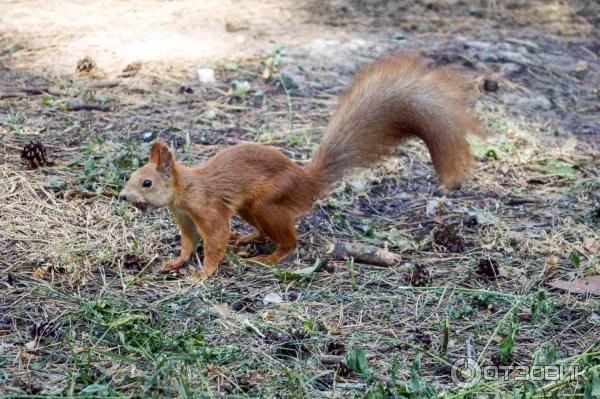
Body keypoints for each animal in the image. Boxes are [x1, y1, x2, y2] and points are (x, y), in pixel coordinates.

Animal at [120, 53, 482, 280]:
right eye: (131, 178)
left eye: (147, 182)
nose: (123, 197)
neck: (184, 190)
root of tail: (306, 181)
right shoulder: (184, 217)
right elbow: (188, 242)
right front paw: (175, 262)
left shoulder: (206, 209)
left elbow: (215, 240)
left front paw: (203, 274)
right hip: (251, 208)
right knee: (262, 229)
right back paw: (248, 238)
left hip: (269, 202)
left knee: (290, 243)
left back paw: (269, 257)